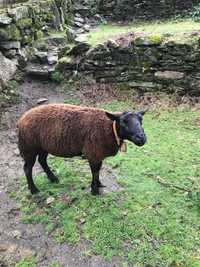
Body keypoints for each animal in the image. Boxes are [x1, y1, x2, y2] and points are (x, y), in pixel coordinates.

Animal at [17, 104, 147, 195]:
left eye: (141, 120)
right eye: (123, 122)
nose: (141, 138)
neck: (109, 129)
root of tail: (21, 119)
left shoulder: (98, 154)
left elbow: (98, 171)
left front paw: (99, 184)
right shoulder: (93, 153)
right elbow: (95, 172)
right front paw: (94, 191)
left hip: (42, 146)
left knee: (42, 161)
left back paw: (53, 179)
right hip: (29, 147)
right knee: (27, 169)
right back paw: (34, 190)